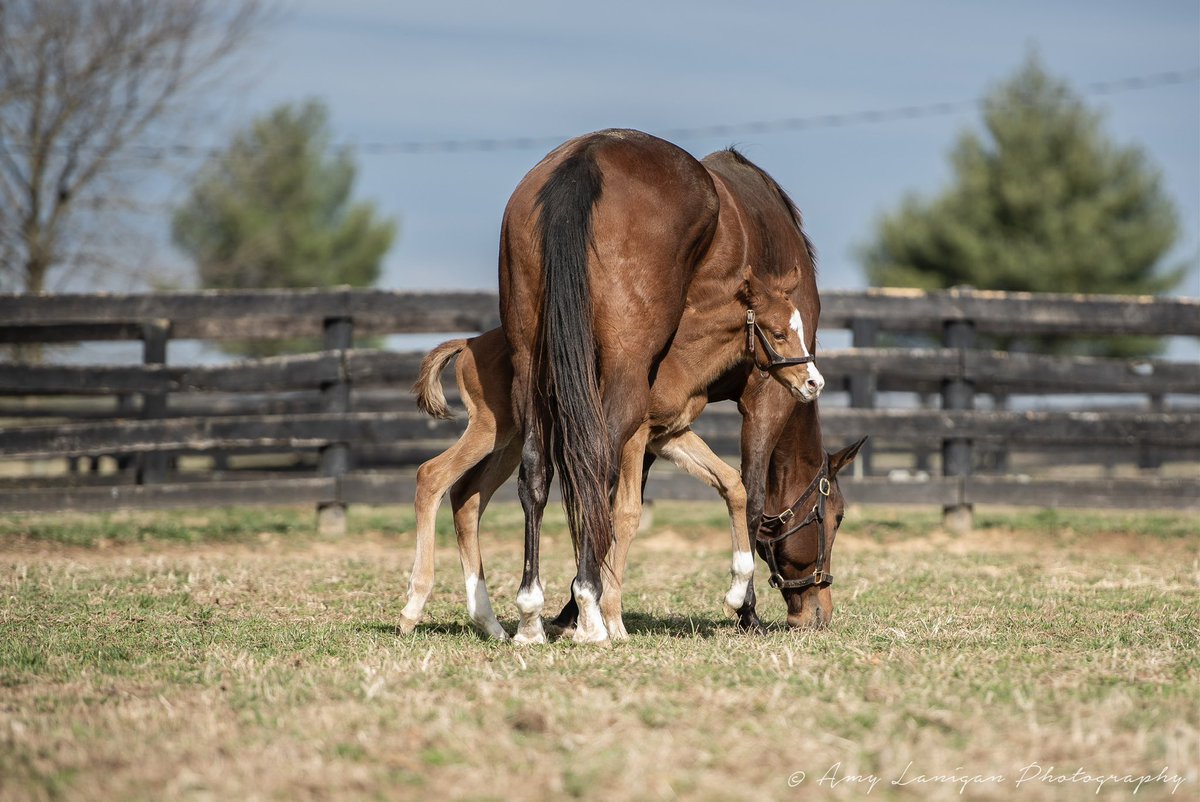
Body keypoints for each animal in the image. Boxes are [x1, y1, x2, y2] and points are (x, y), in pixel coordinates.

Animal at [401, 142, 835, 640]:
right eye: (780, 333)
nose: (813, 382)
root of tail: (469, 343)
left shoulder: (670, 435)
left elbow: (731, 485)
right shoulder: (658, 430)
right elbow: (629, 513)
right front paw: (613, 616)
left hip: (515, 428)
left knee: (485, 492)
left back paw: (512, 622)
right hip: (499, 427)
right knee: (436, 476)